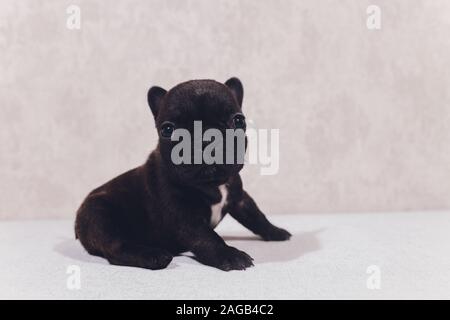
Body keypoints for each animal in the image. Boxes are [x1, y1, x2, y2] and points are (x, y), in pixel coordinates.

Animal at [75, 77, 290, 270]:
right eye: (168, 129)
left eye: (238, 120)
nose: (207, 138)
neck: (212, 184)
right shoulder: (184, 216)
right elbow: (207, 237)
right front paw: (229, 255)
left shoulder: (239, 198)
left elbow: (256, 215)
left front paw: (276, 231)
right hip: (99, 214)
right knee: (115, 247)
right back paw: (154, 256)